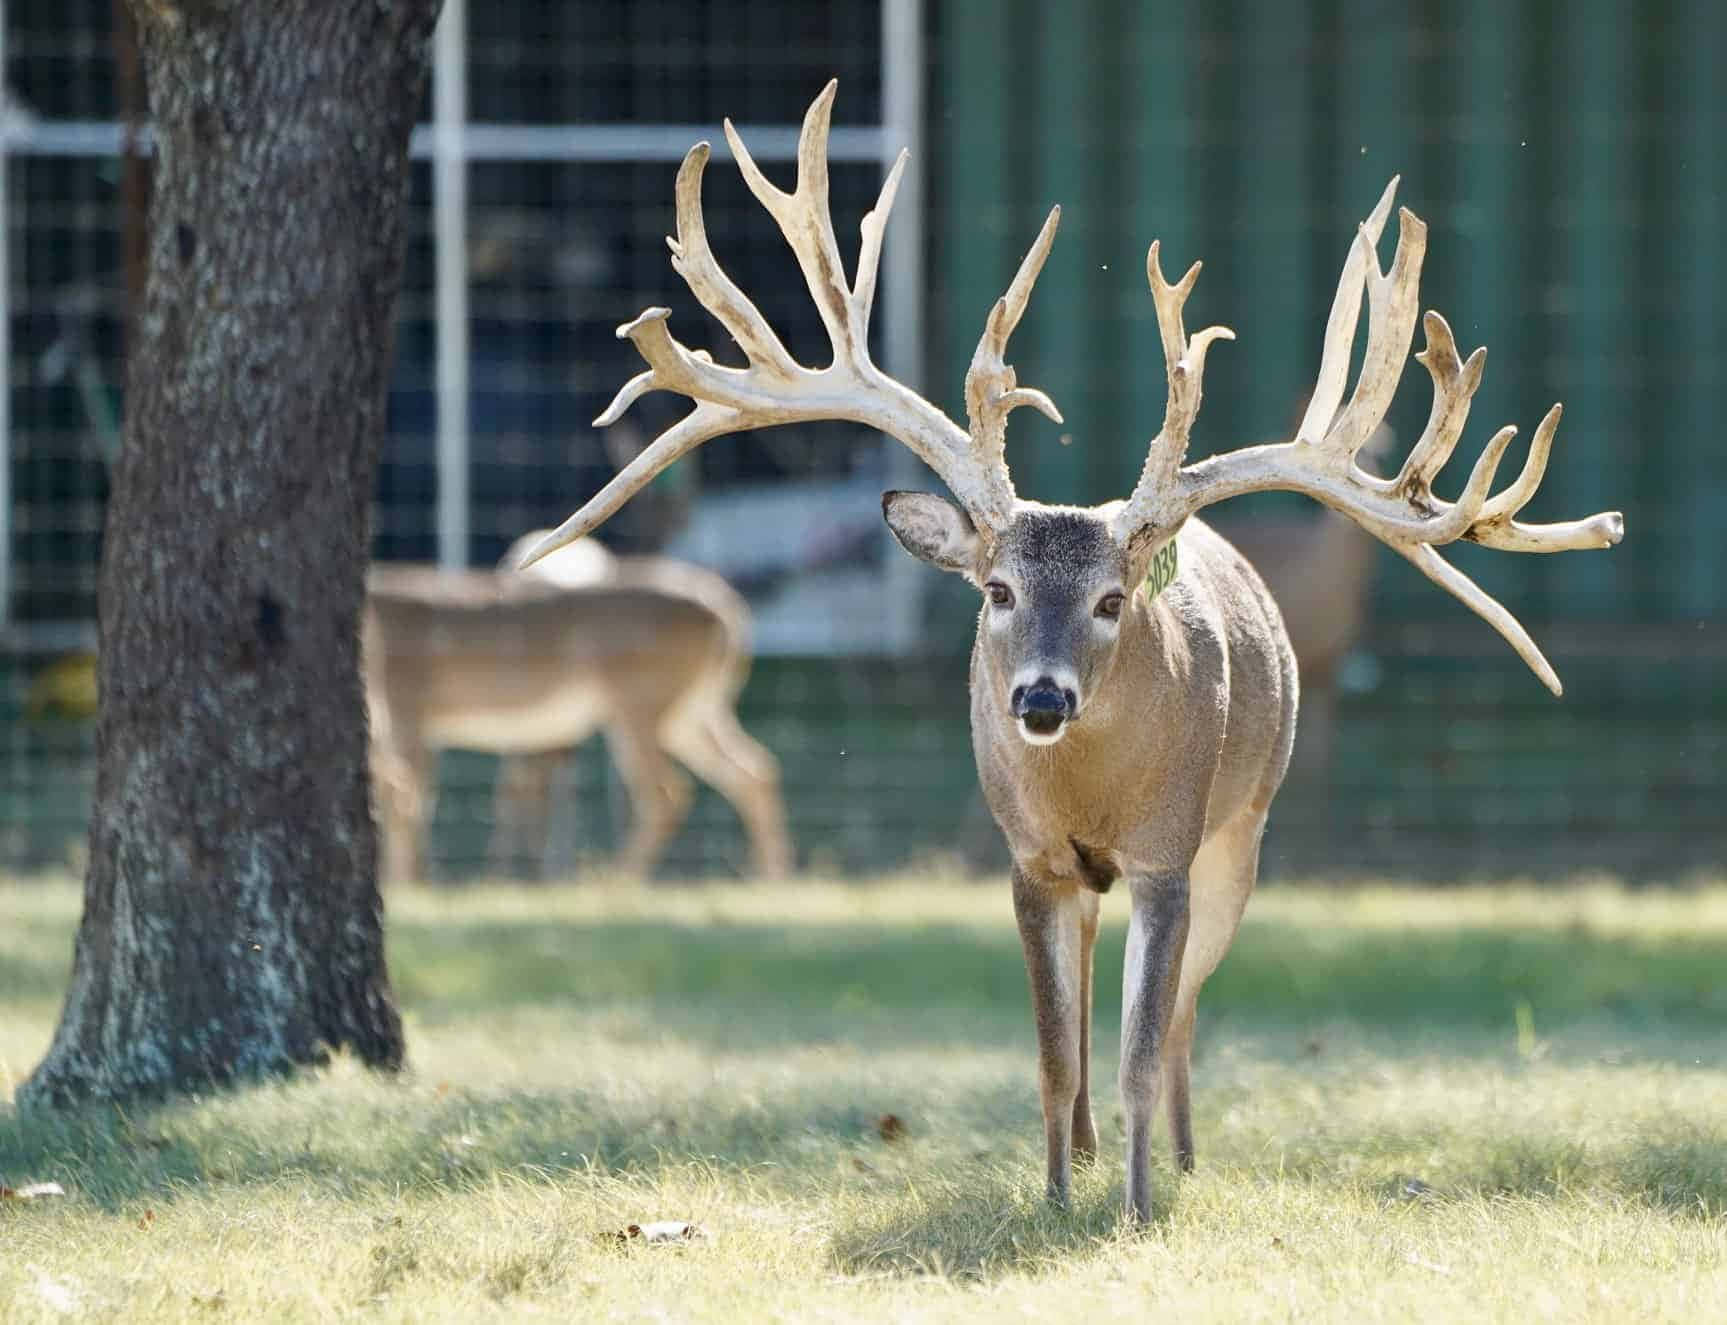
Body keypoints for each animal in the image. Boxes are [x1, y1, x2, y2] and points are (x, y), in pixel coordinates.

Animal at [371, 545, 794, 884]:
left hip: (640, 702)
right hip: (691, 711)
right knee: (755, 769)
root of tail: (725, 608)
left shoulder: (407, 702)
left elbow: (405, 799)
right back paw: (769, 877)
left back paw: (616, 880)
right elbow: (407, 796)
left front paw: (406, 885)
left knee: (668, 791)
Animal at [511, 82, 1616, 1223]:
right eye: (995, 589)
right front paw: (1050, 1195)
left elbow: (1141, 1042)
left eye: (1110, 599)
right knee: (1090, 983)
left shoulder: (1168, 850)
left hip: (1242, 827)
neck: (1091, 790)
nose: (1039, 700)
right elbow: (1051, 1049)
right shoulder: (1030, 857)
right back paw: (1083, 1155)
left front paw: (1132, 1206)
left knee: (1183, 1013)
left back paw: (1177, 1159)